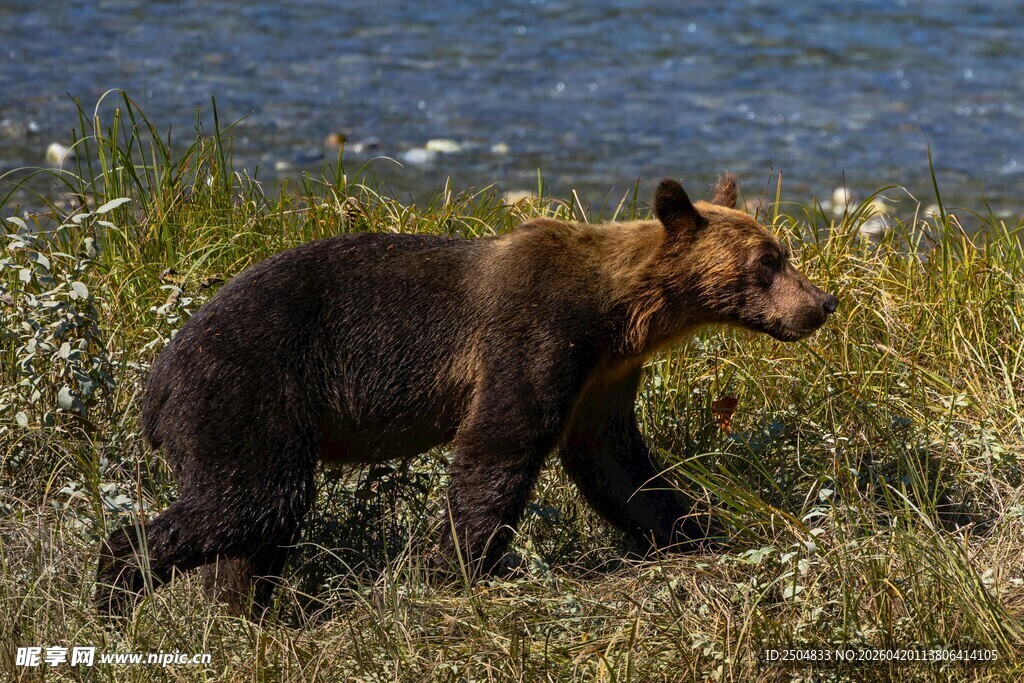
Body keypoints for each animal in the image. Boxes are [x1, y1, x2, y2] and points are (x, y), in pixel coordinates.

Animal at [96, 174, 838, 617]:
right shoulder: (537, 332)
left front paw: (698, 529)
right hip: (246, 389)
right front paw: (459, 567)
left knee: (259, 522)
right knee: (251, 499)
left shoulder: (601, 377)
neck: (620, 312)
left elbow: (618, 465)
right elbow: (500, 444)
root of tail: (155, 384)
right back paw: (117, 583)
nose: (822, 303)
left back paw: (244, 606)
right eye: (769, 261)